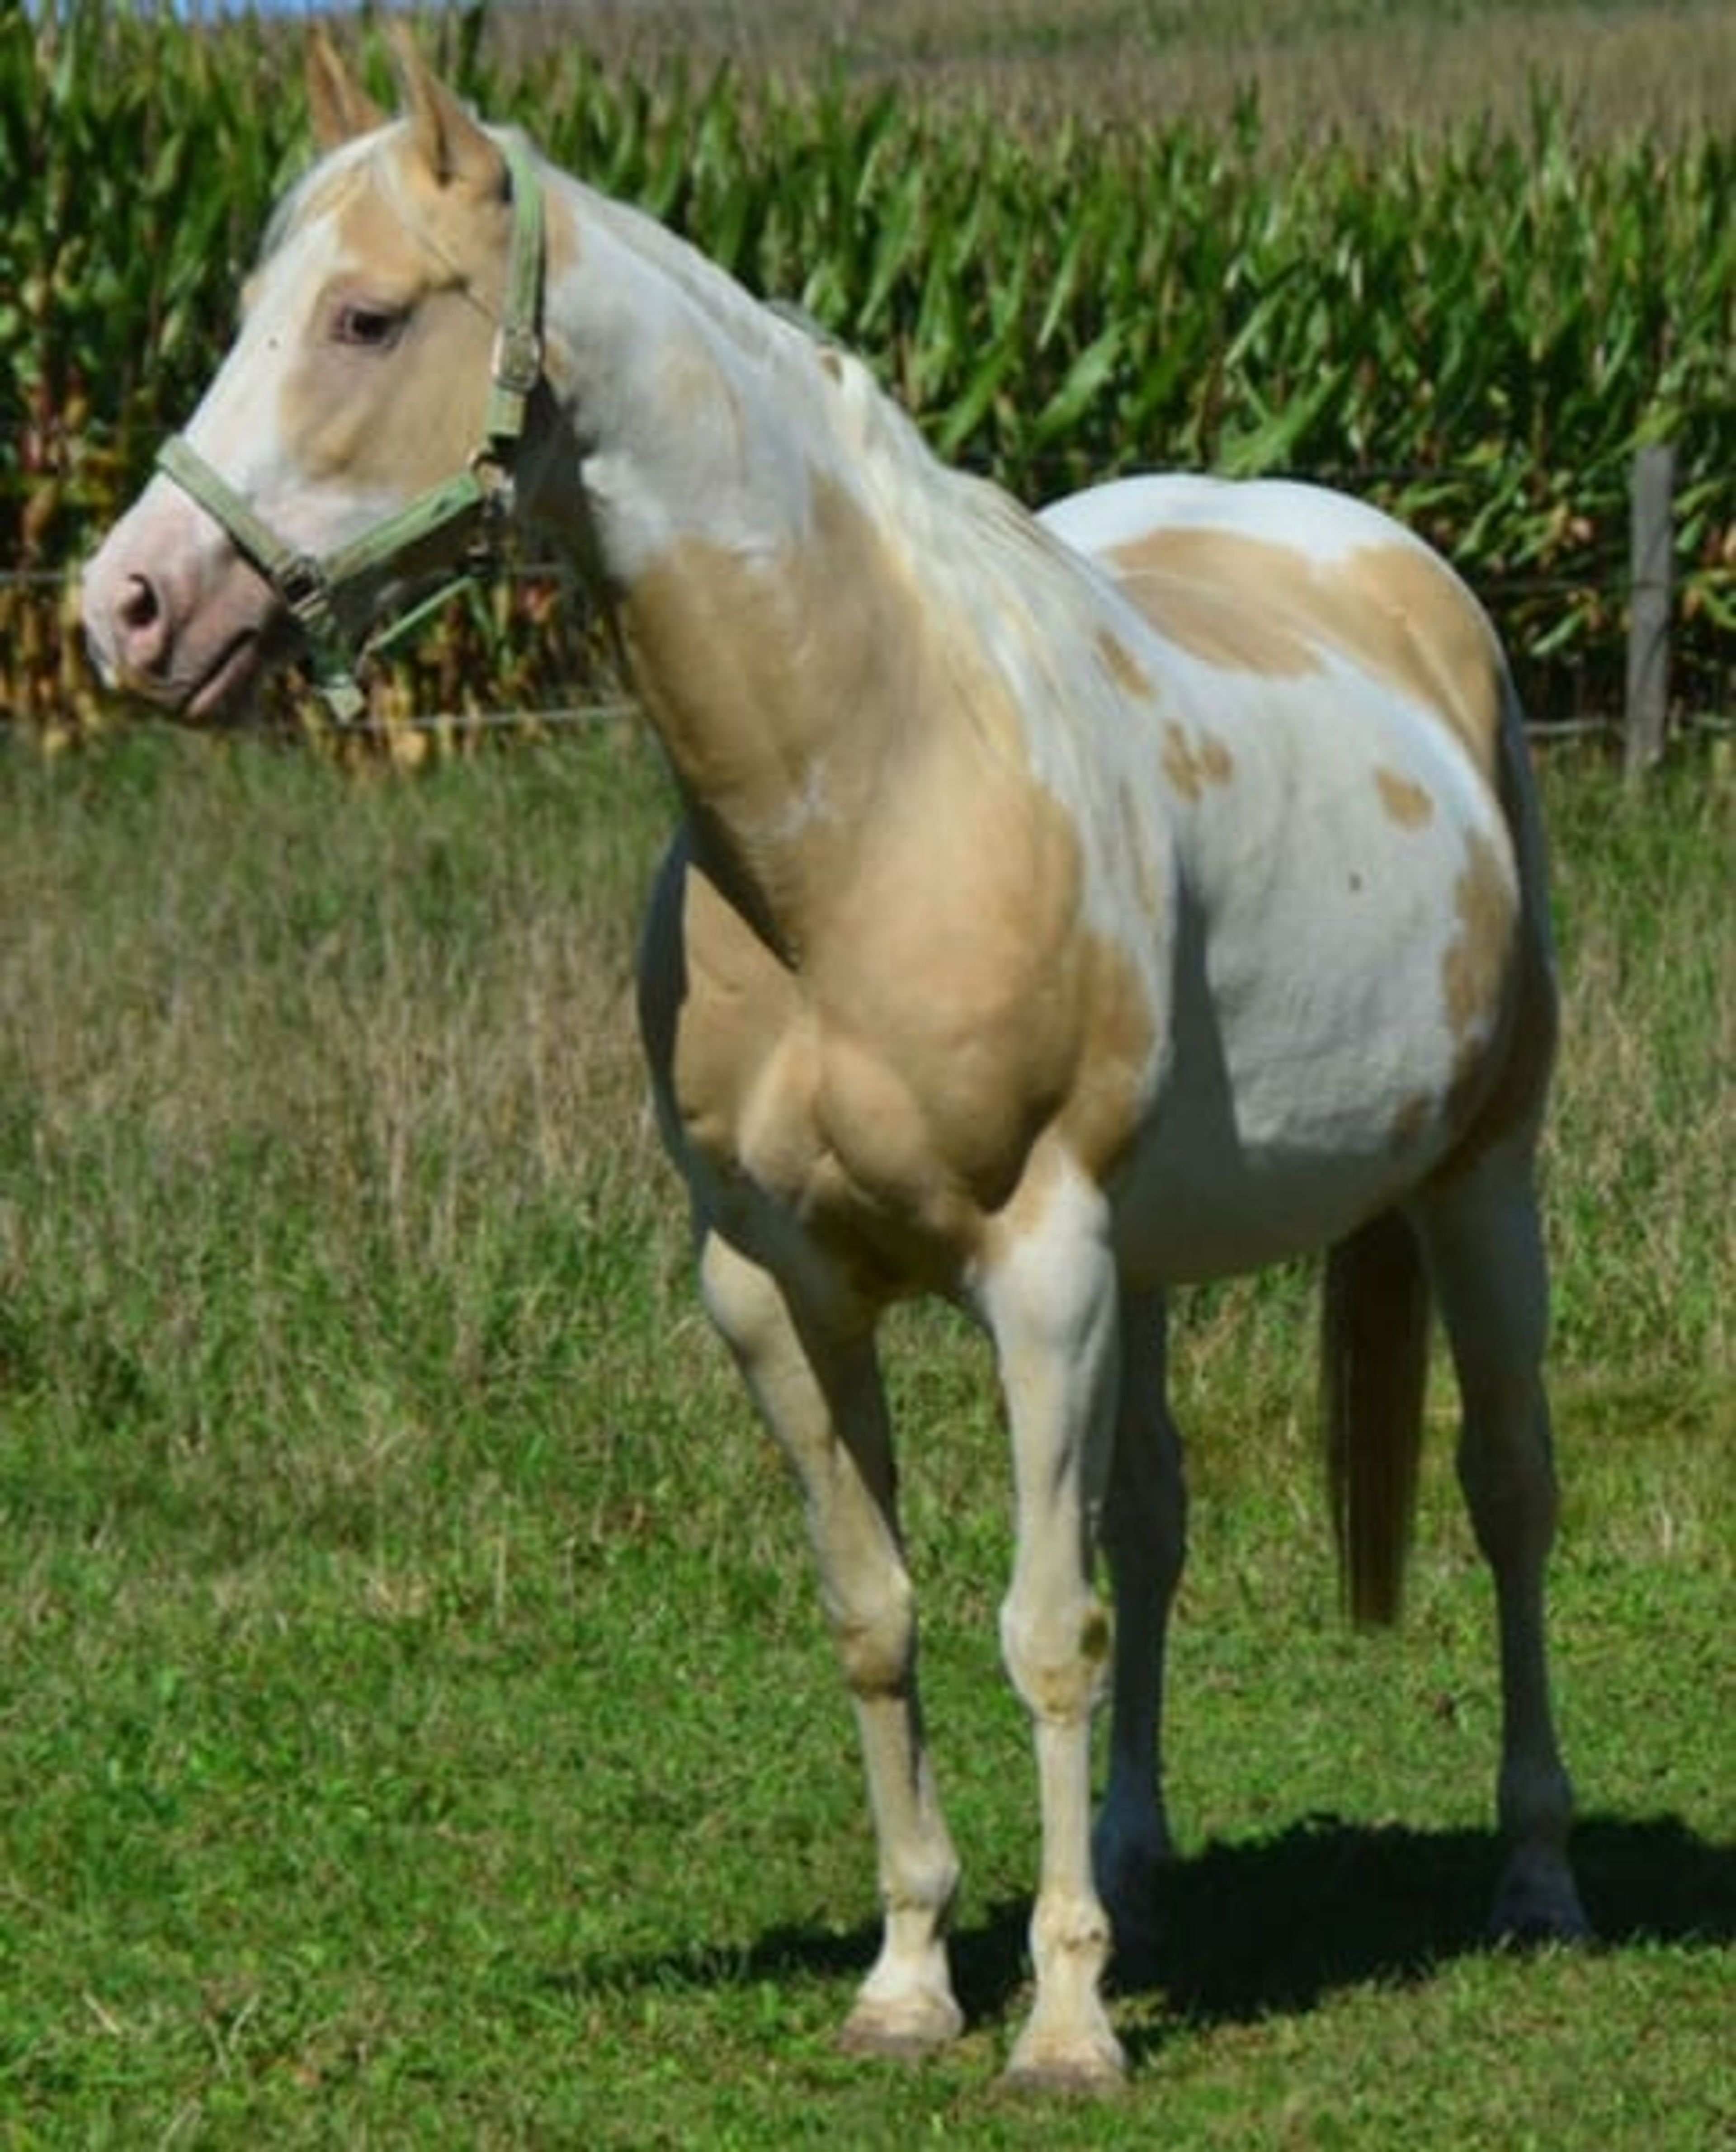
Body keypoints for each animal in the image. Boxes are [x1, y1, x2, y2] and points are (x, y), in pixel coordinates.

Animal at [82, 32, 1588, 2090]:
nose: (126, 607)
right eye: (244, 309)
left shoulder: (1041, 1269)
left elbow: (1044, 1623)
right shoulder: (778, 1286)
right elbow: (882, 1614)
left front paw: (1064, 2026)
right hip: (1164, 1259)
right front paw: (910, 1978)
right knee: (1161, 1522)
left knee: (1508, 1494)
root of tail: (1393, 572)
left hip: (1477, 1179)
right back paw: (1139, 1862)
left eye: (368, 314)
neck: (869, 797)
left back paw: (1534, 1876)